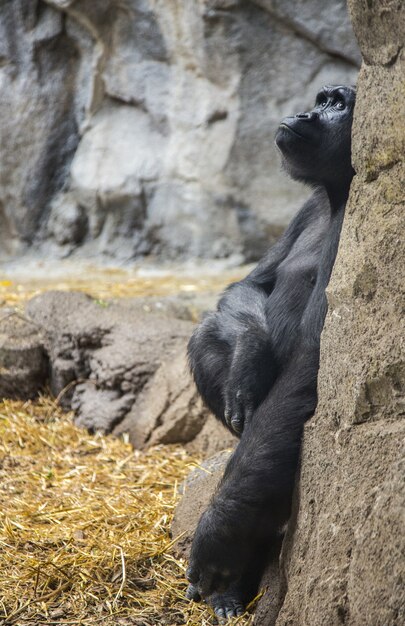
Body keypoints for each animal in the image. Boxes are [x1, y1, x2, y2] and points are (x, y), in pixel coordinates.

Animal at [185, 85, 356, 616]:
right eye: (320, 98)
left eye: (337, 104)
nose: (305, 112)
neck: (335, 191)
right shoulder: (306, 207)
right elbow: (251, 284)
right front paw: (251, 356)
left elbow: (313, 363)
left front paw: (222, 531)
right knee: (208, 335)